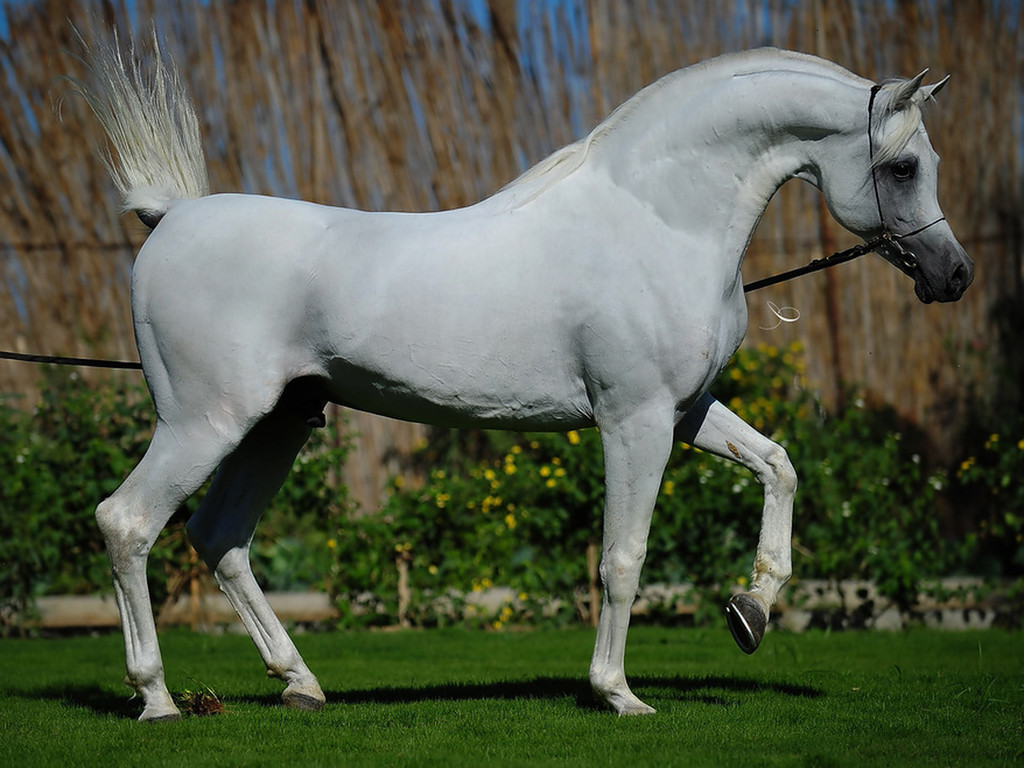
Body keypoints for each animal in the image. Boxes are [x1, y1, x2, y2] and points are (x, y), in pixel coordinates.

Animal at [72, 36, 966, 720]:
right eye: (902, 167)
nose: (953, 277)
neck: (657, 219)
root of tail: (172, 218)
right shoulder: (634, 420)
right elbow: (621, 557)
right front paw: (618, 694)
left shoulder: (687, 411)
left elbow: (779, 466)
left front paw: (750, 611)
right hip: (205, 422)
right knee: (128, 523)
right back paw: (156, 700)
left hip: (277, 425)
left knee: (220, 539)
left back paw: (301, 684)